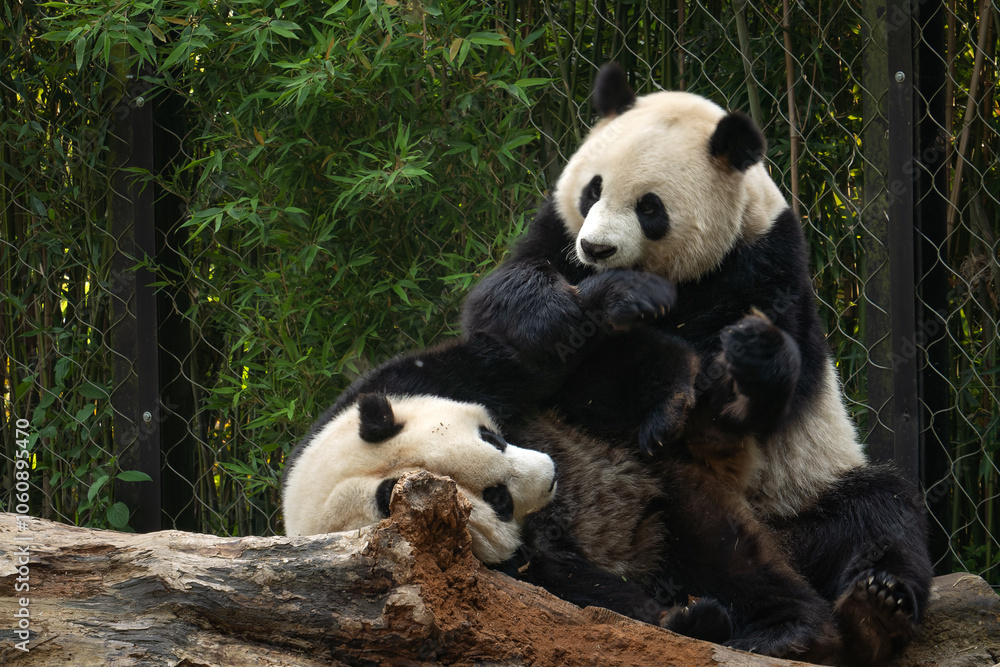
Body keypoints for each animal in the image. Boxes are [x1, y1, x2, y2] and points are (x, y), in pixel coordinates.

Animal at [281, 331, 841, 662]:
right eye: (498, 499)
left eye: (493, 437)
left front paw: (664, 400)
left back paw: (786, 630)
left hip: (663, 489)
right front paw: (675, 617)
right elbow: (568, 594)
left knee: (725, 550)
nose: (552, 476)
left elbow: (558, 373)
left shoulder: (415, 381)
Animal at [460, 63, 933, 666]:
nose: (596, 249)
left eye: (650, 208)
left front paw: (726, 376)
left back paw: (868, 610)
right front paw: (602, 307)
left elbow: (726, 404)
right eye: (592, 189)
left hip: (806, 489)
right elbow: (505, 304)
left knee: (879, 512)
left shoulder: (764, 264)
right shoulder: (555, 234)